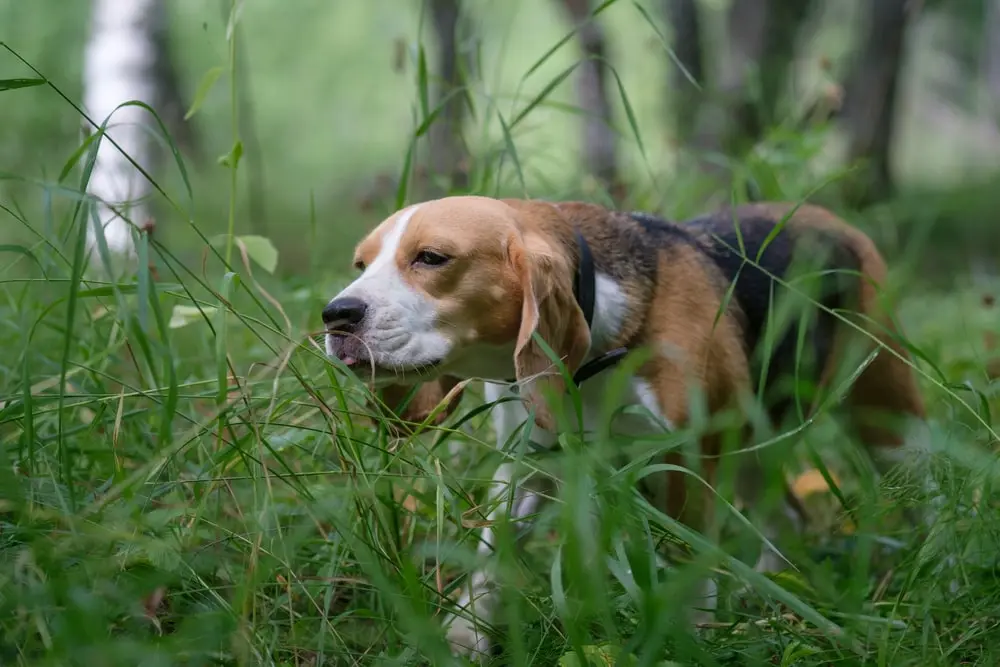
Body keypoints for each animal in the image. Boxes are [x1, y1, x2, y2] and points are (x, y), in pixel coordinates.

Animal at [324, 196, 924, 660]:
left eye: (431, 258)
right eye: (360, 263)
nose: (336, 316)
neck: (599, 349)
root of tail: (830, 216)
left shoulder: (685, 464)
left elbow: (687, 569)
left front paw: (690, 642)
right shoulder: (528, 465)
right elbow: (492, 556)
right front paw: (464, 637)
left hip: (885, 416)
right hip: (751, 441)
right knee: (788, 515)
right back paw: (772, 591)